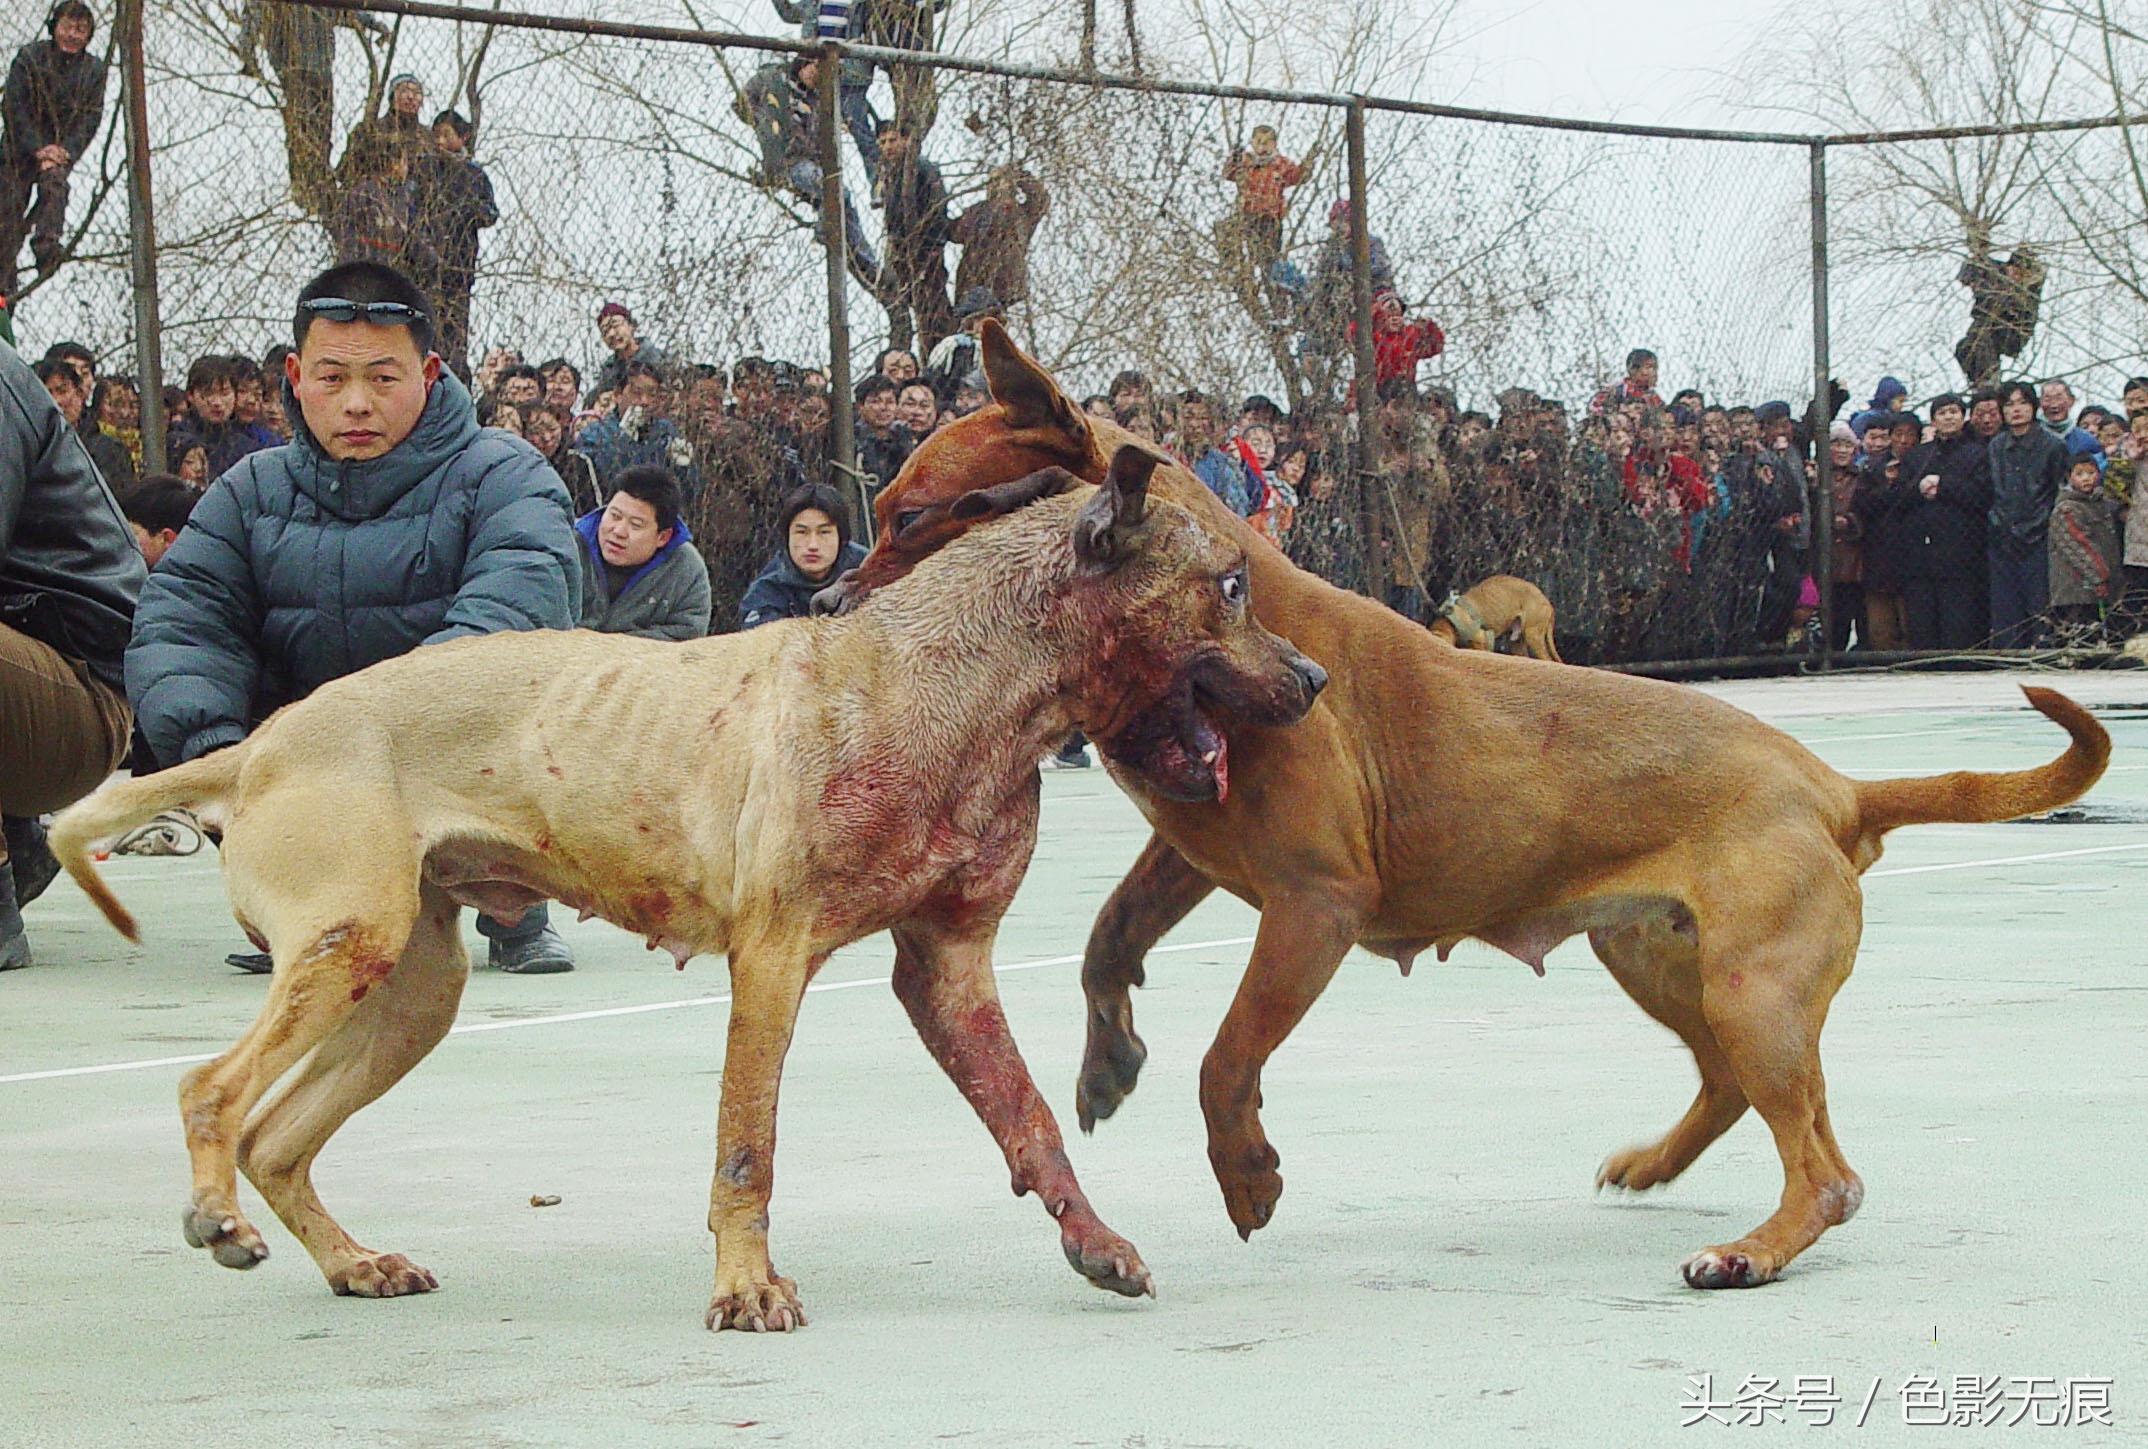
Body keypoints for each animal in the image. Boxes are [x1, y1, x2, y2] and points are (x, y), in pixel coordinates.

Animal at [46, 459, 1323, 1330]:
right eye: (1229, 585)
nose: (1314, 678)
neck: (956, 682)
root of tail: (260, 743)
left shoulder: (949, 970)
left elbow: (1034, 1125)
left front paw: (1094, 1242)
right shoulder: (774, 962)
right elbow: (746, 1149)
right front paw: (746, 1286)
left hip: (412, 990)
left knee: (277, 1137)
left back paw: (350, 1261)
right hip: (350, 945)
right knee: (212, 1094)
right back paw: (219, 1215)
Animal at [1426, 579, 1563, 669]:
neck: (1450, 622)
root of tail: (1547, 602)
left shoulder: (1482, 641)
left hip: (1532, 635)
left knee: (1548, 659)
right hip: (1516, 642)